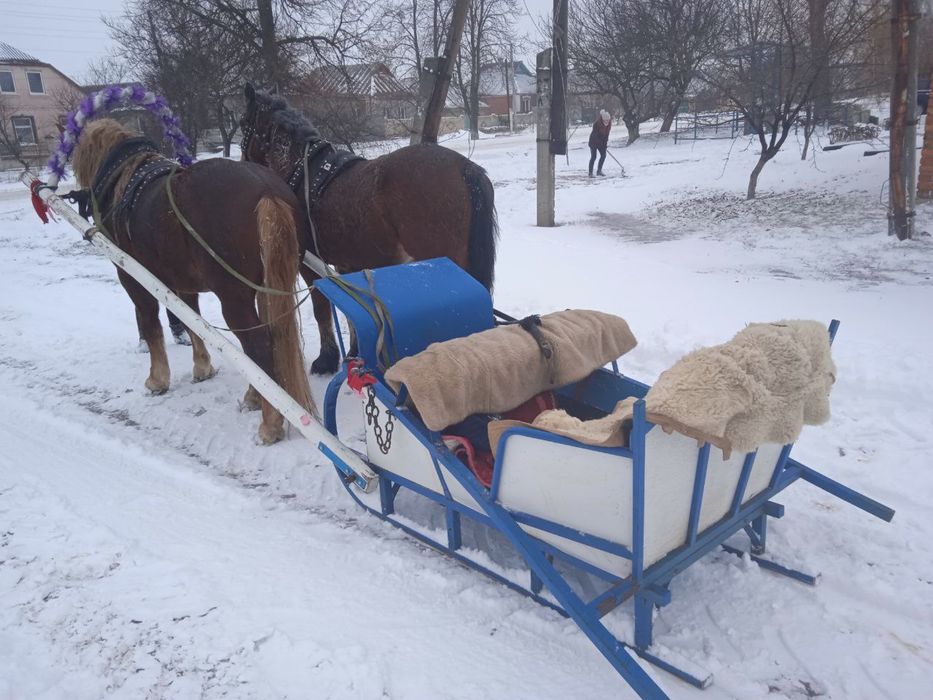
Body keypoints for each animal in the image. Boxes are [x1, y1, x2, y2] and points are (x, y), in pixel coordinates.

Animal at [72, 118, 314, 444]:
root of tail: (266, 191)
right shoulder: (183, 284)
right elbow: (192, 324)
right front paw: (202, 367)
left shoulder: (133, 279)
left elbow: (151, 325)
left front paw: (157, 379)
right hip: (268, 286)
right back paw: (257, 398)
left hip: (234, 298)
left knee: (258, 347)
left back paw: (270, 423)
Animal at [238, 84, 499, 375]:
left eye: (243, 123)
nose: (242, 162)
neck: (305, 173)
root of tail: (464, 167)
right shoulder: (346, 264)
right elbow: (349, 307)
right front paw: (353, 353)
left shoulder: (309, 265)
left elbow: (321, 308)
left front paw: (326, 359)